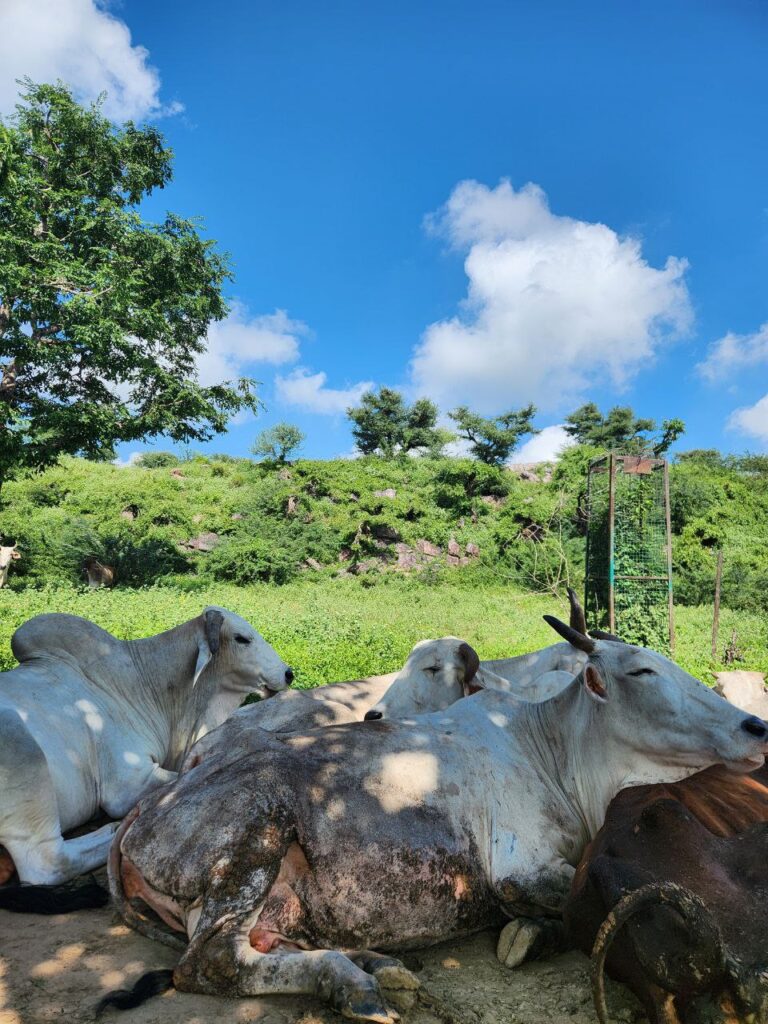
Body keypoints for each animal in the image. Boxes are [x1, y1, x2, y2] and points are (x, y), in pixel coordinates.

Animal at [0, 602, 292, 909]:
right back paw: (115, 830)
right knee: (49, 862)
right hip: (18, 743)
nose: (288, 673)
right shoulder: (127, 784)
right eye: (241, 638)